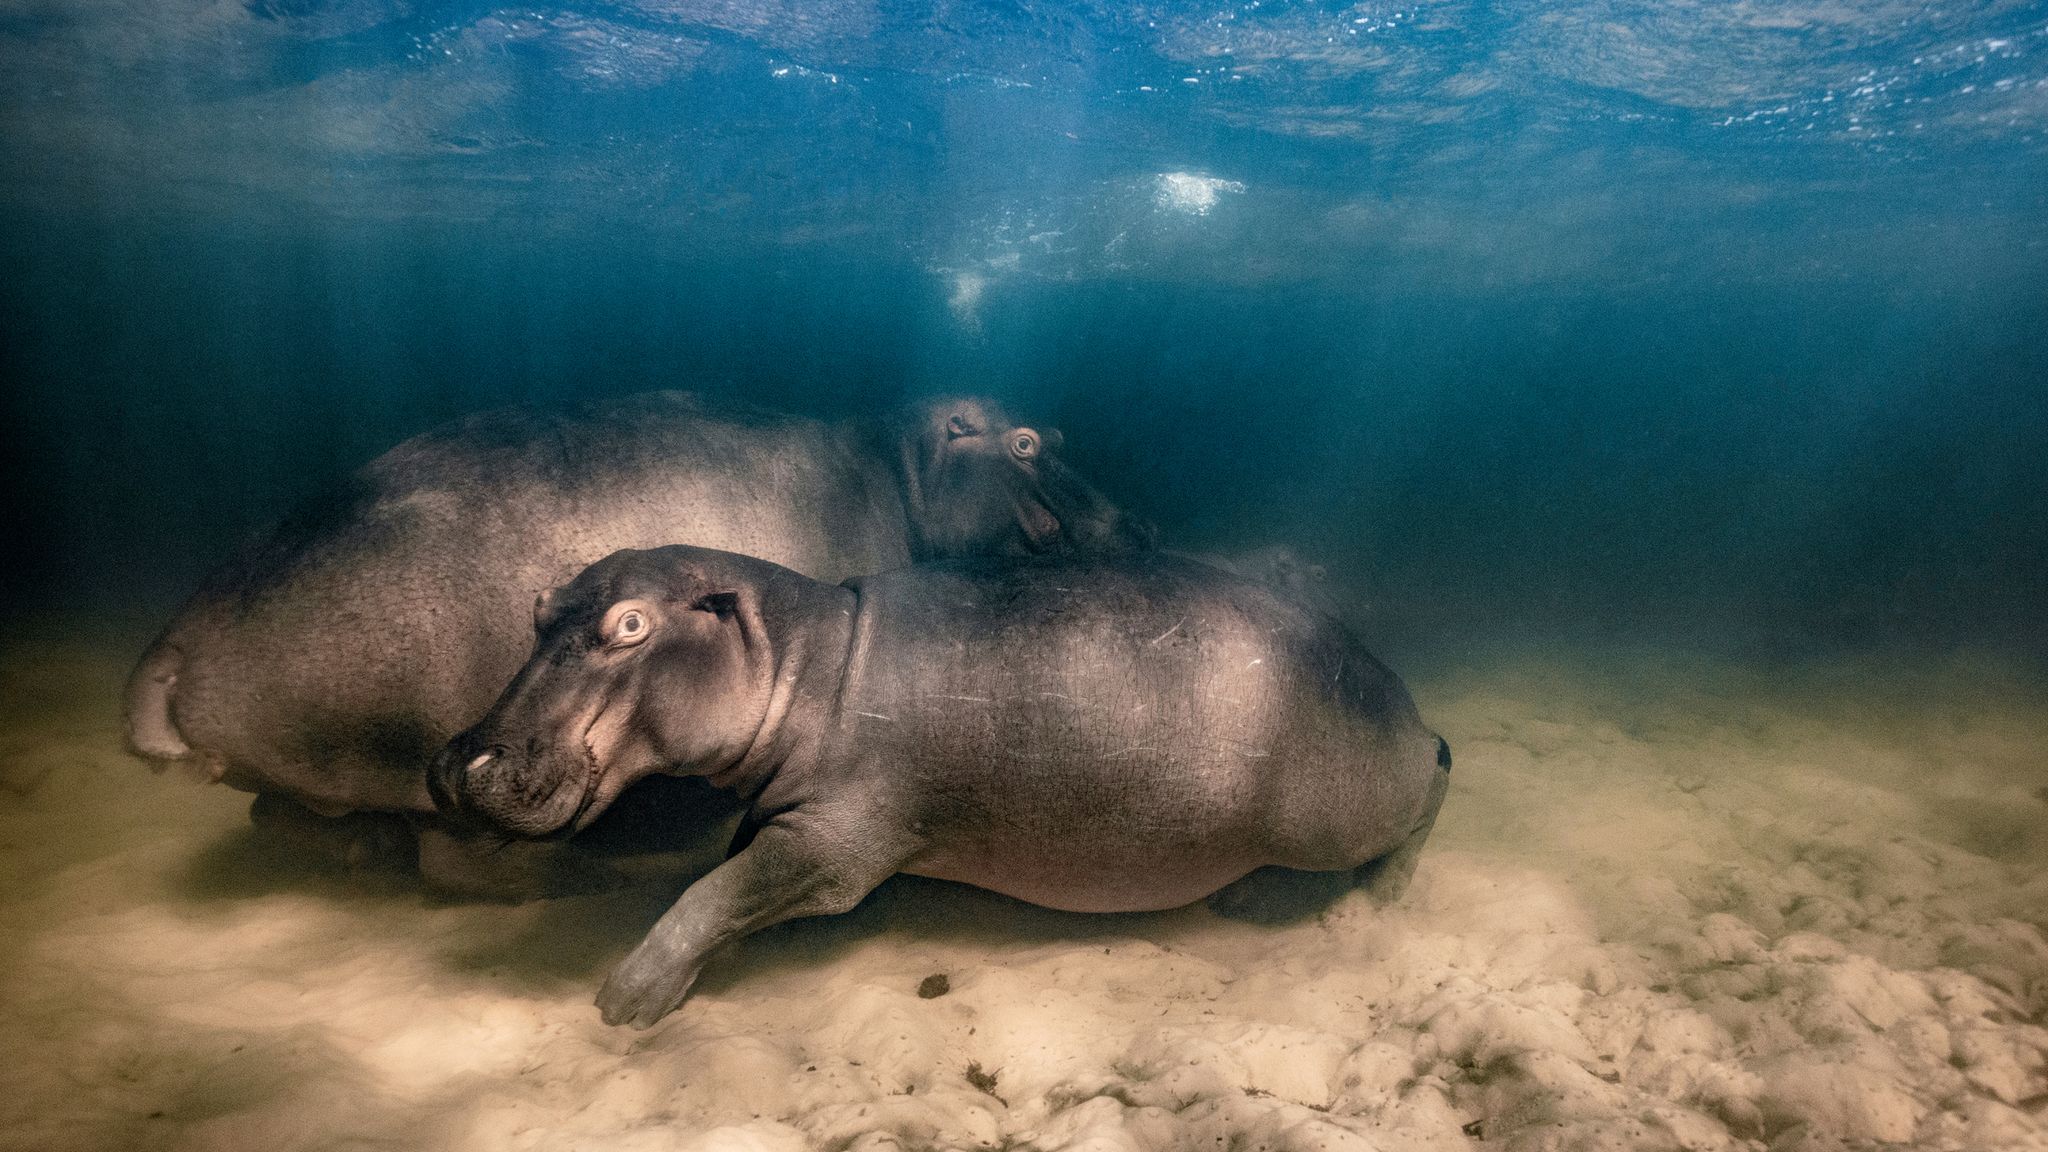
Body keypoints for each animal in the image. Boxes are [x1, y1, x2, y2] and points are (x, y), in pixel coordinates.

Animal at [128, 389, 1155, 881]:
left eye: (1058, 432)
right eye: (1027, 441)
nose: (1140, 529)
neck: (901, 471)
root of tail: (172, 649)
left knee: (292, 819)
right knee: (464, 861)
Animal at [436, 545, 1458, 1020]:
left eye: (632, 625)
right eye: (538, 608)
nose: (456, 762)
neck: (806, 660)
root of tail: (1394, 689)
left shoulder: (835, 845)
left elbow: (715, 892)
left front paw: (626, 998)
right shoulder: (781, 814)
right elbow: (727, 871)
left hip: (1341, 810)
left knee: (1436, 779)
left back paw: (1381, 898)